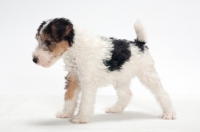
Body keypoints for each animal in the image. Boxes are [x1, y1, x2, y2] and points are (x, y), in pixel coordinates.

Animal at [32, 17, 175, 124]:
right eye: (38, 40)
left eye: (48, 41)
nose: (34, 59)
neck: (75, 49)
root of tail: (139, 44)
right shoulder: (73, 78)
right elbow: (69, 98)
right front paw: (66, 113)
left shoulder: (87, 82)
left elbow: (85, 101)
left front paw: (80, 118)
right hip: (120, 77)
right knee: (126, 94)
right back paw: (115, 109)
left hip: (148, 74)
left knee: (162, 94)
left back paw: (169, 114)